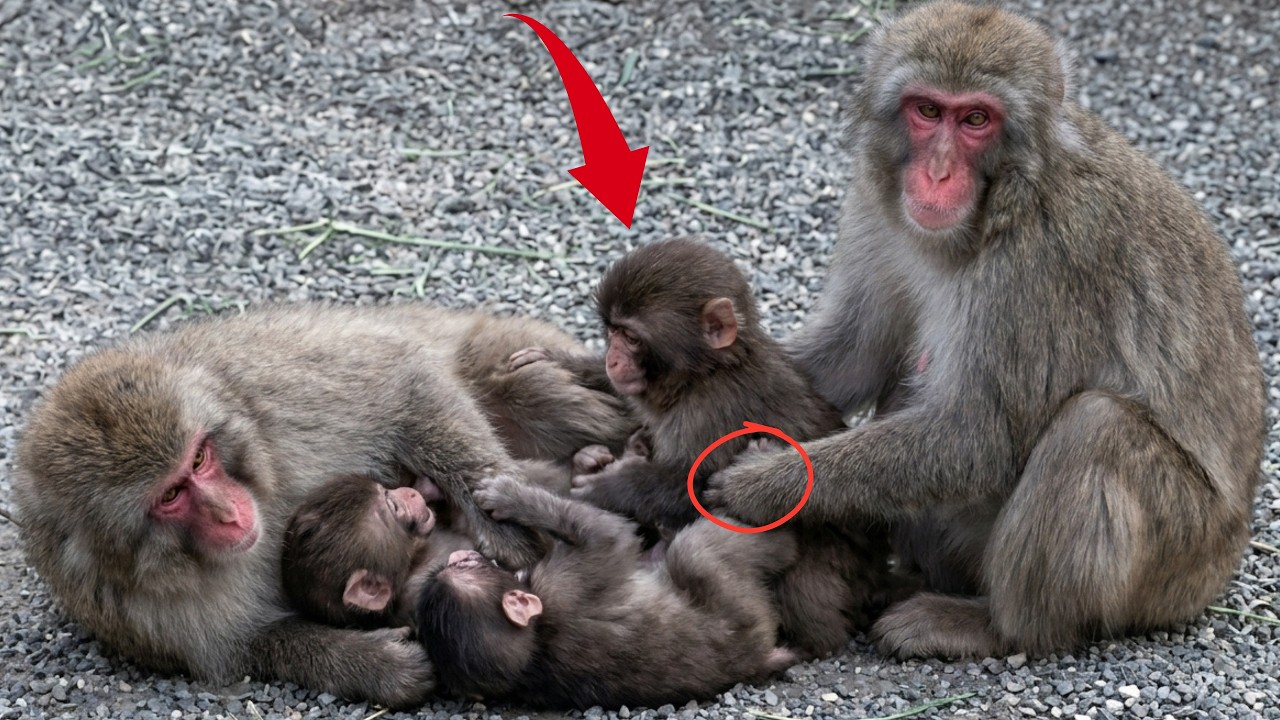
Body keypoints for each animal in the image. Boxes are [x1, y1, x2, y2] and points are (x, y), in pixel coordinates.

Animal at [13, 303, 634, 708]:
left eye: (199, 459)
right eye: (169, 494)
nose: (228, 513)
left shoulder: (280, 396)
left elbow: (405, 382)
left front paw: (503, 523)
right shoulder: (128, 605)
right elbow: (248, 646)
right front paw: (376, 665)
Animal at [416, 474, 798, 709]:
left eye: (465, 565)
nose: (462, 555)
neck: (533, 650)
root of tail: (755, 659)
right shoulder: (565, 584)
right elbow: (609, 535)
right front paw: (512, 496)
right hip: (743, 611)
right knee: (694, 551)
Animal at [512, 238, 906, 658]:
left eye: (631, 338)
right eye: (612, 332)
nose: (613, 359)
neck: (704, 376)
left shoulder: (712, 415)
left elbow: (700, 492)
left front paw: (611, 486)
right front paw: (566, 364)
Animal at [708, 0, 1266, 660]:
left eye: (976, 119)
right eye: (928, 111)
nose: (939, 173)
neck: (999, 203)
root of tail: (1225, 560)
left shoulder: (1046, 259)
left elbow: (980, 435)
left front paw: (765, 487)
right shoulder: (875, 204)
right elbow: (854, 354)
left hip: (1178, 560)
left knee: (1095, 425)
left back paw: (997, 626)